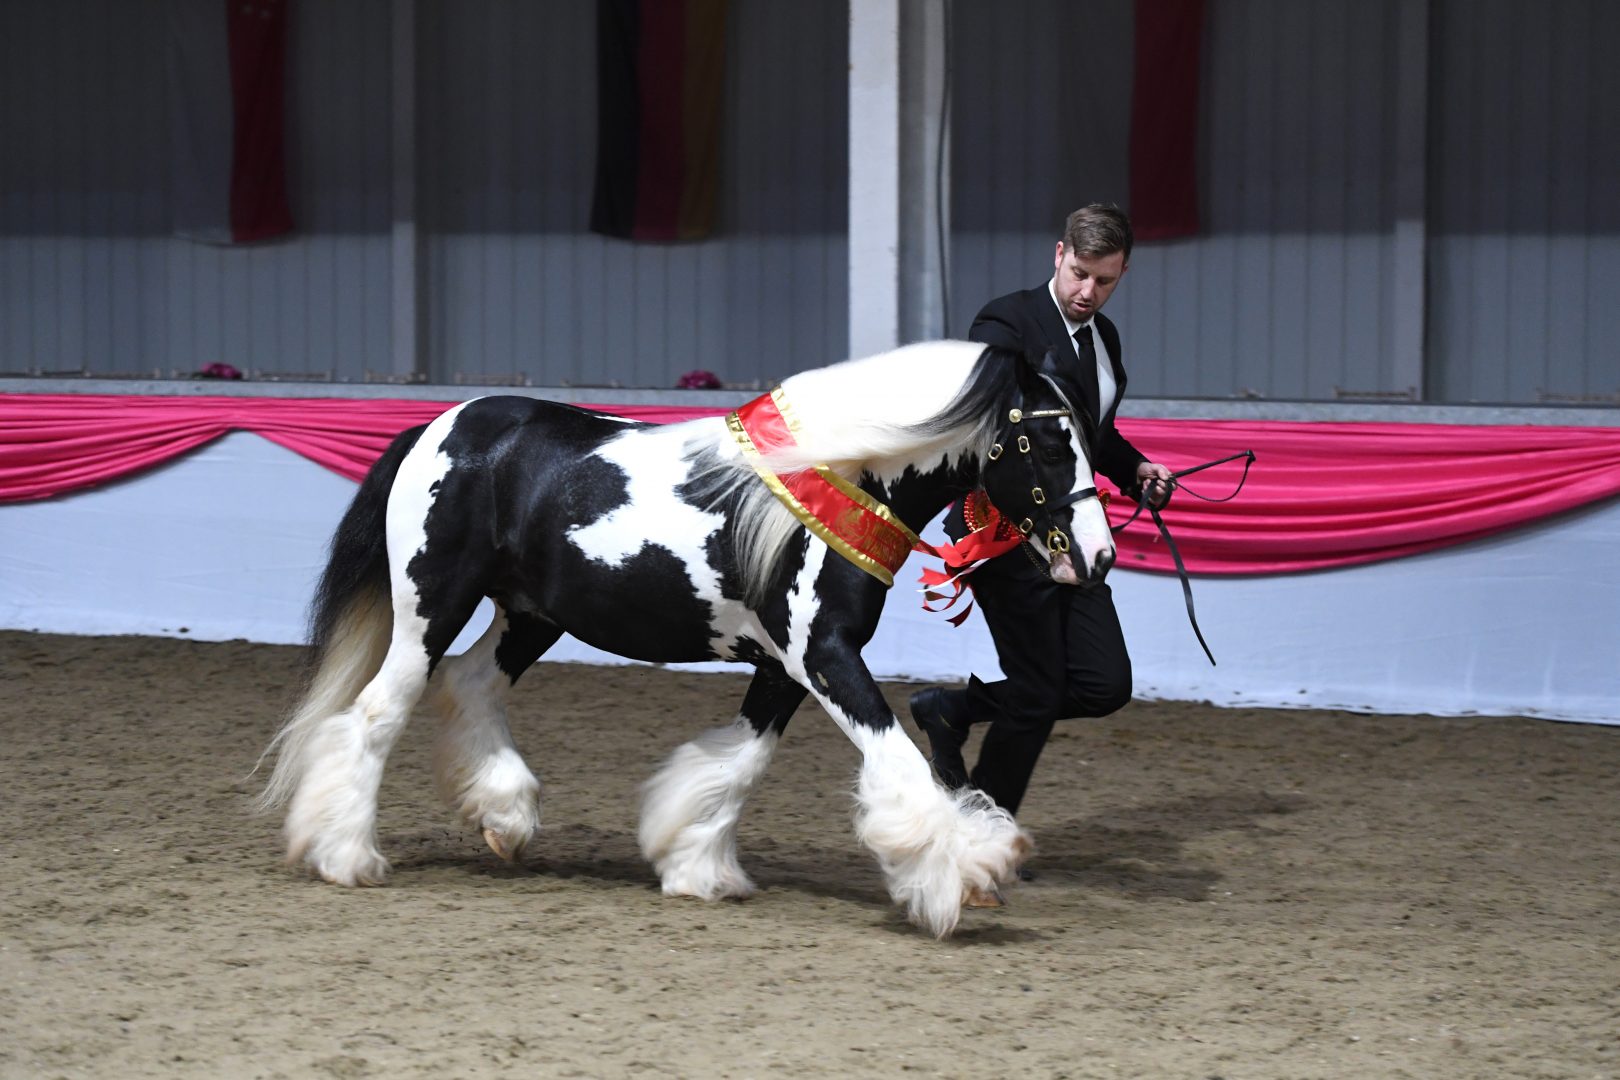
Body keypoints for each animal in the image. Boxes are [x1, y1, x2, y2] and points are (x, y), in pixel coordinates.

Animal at [257, 339, 1117, 938]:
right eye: (1047, 442)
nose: (1099, 555)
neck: (837, 477)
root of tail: (438, 427)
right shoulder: (825, 655)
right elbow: (896, 759)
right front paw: (969, 869)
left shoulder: (784, 667)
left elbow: (738, 763)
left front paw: (698, 868)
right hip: (430, 611)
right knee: (374, 716)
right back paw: (346, 856)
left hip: (531, 615)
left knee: (470, 685)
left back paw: (505, 820)